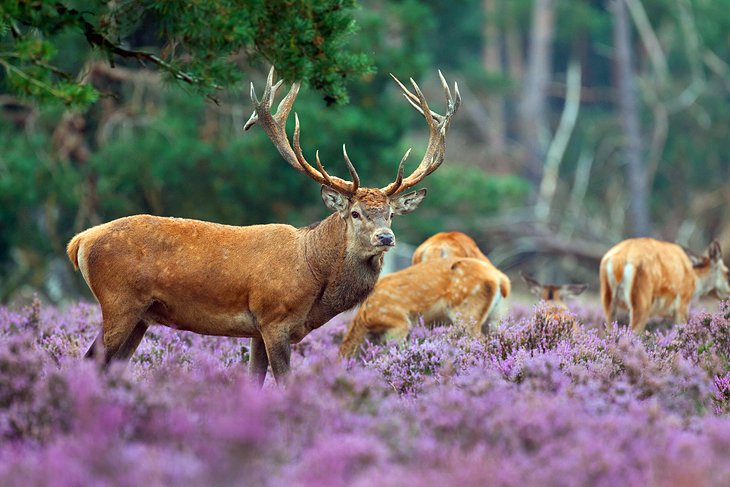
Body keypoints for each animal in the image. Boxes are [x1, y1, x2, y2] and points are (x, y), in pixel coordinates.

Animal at [65, 67, 458, 386]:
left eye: (391, 214)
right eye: (356, 213)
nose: (386, 237)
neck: (313, 272)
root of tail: (80, 241)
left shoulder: (257, 330)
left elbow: (255, 381)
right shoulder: (274, 319)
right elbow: (284, 383)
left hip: (142, 316)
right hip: (119, 302)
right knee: (87, 361)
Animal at [596, 238, 728, 334]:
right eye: (727, 272)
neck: (695, 282)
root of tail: (618, 262)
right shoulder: (682, 304)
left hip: (607, 300)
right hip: (641, 301)